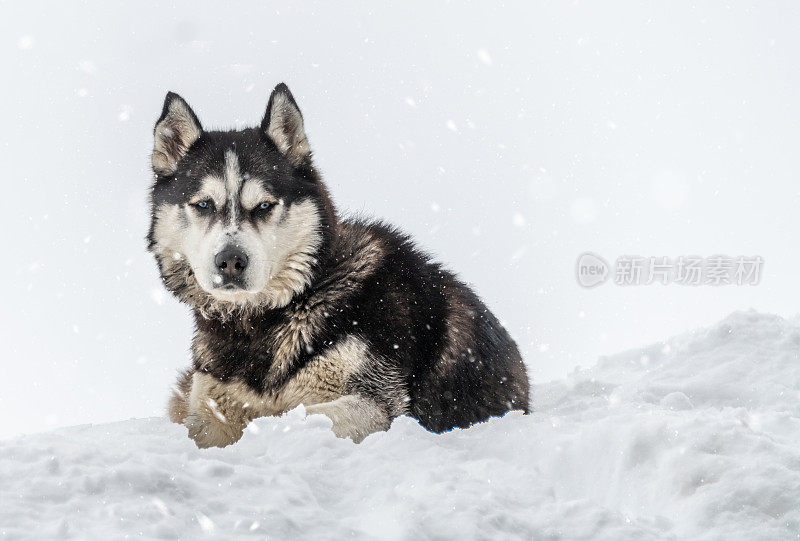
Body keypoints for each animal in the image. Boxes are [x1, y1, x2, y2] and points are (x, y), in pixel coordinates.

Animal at [147, 84, 528, 446]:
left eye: (265, 205)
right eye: (203, 204)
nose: (229, 261)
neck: (269, 319)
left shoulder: (374, 402)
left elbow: (294, 418)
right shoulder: (210, 402)